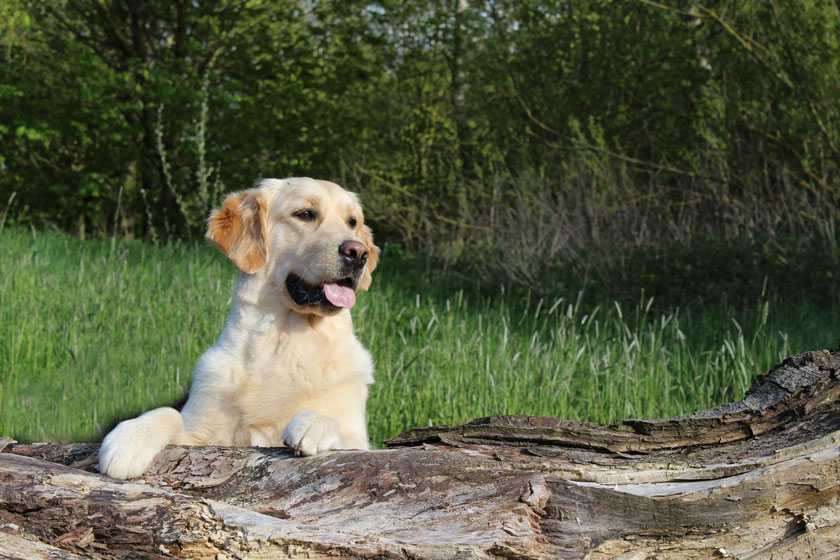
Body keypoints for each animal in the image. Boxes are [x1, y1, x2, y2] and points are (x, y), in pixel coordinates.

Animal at [96, 177, 380, 480]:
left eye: (352, 221)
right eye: (305, 214)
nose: (358, 253)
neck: (284, 341)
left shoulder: (357, 436)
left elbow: (343, 433)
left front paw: (314, 423)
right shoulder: (200, 435)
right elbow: (168, 412)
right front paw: (129, 438)